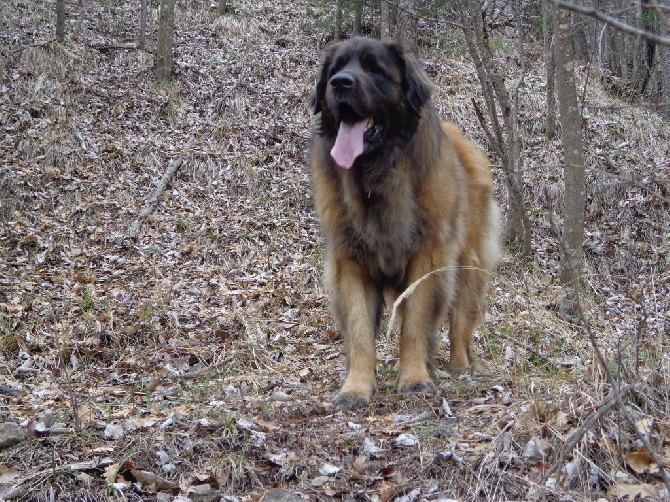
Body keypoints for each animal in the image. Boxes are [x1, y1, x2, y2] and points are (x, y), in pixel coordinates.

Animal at [312, 37, 502, 410]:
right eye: (336, 68)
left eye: (375, 69)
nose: (340, 83)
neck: (378, 177)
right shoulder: (351, 263)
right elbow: (360, 332)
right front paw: (355, 388)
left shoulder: (426, 261)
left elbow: (415, 324)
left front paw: (415, 378)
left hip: (467, 267)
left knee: (460, 321)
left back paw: (460, 367)